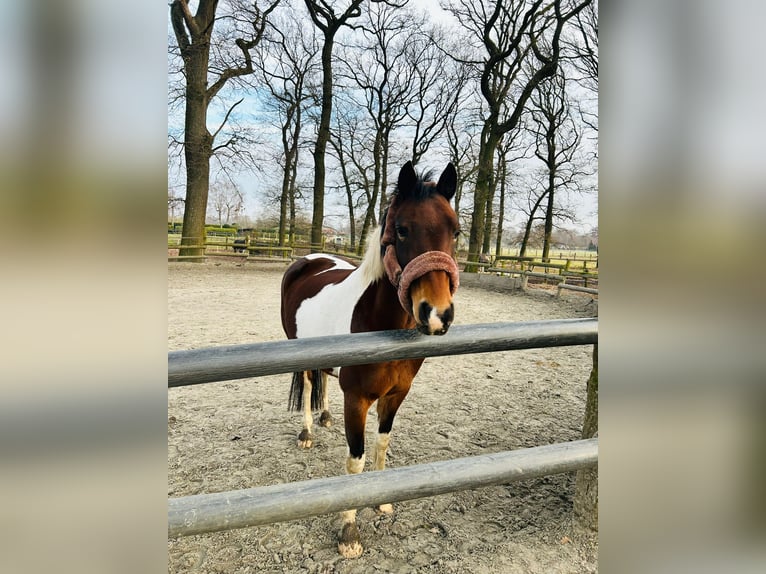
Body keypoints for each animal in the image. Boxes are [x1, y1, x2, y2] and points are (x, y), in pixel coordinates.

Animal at [280, 160, 460, 558]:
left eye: (455, 231)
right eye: (402, 229)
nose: (438, 314)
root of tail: (309, 259)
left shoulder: (396, 395)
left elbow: (382, 444)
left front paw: (381, 501)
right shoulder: (357, 400)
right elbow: (356, 459)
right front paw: (349, 532)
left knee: (323, 378)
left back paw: (325, 417)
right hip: (298, 353)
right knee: (309, 384)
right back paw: (307, 432)